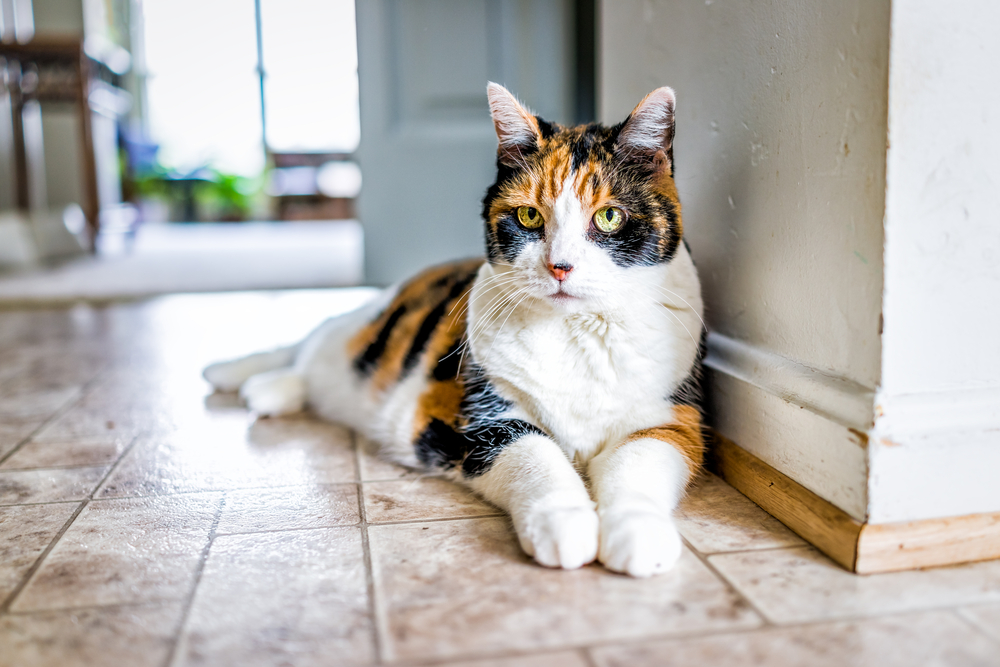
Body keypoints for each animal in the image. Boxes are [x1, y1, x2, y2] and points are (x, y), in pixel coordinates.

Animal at [205, 82, 704, 576]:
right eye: (528, 217)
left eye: (609, 217)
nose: (560, 266)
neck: (574, 333)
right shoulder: (473, 419)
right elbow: (536, 455)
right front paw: (564, 525)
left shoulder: (670, 417)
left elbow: (638, 463)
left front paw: (638, 533)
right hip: (354, 336)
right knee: (312, 343)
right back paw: (245, 379)